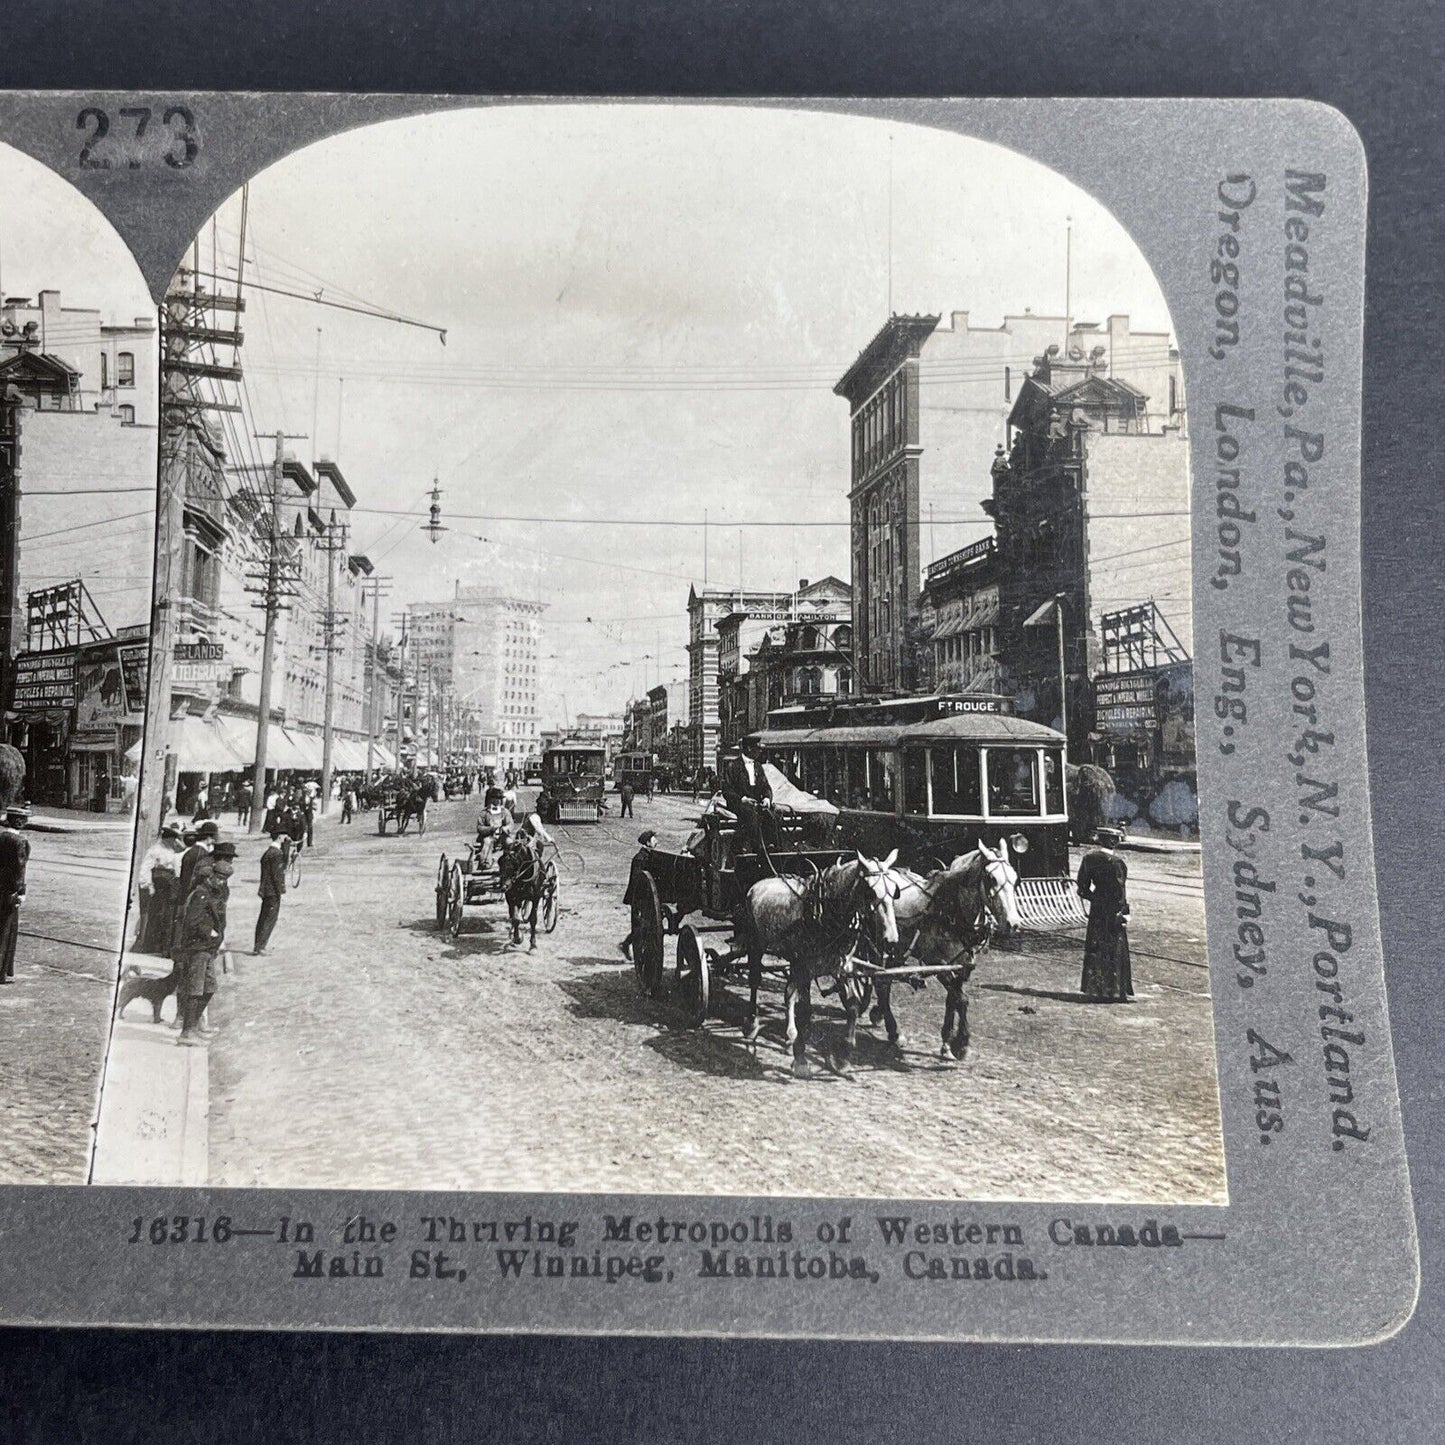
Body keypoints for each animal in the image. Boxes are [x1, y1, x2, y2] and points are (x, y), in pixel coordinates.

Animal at [739, 849, 895, 1080]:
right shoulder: (804, 965)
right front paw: (801, 1060)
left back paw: (789, 1036)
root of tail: (758, 884)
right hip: (756, 944)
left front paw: (843, 1058)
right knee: (756, 981)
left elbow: (852, 1006)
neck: (825, 911)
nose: (891, 939)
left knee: (790, 992)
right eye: (871, 891)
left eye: (895, 891)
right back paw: (753, 1024)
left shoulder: (841, 966)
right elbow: (803, 1009)